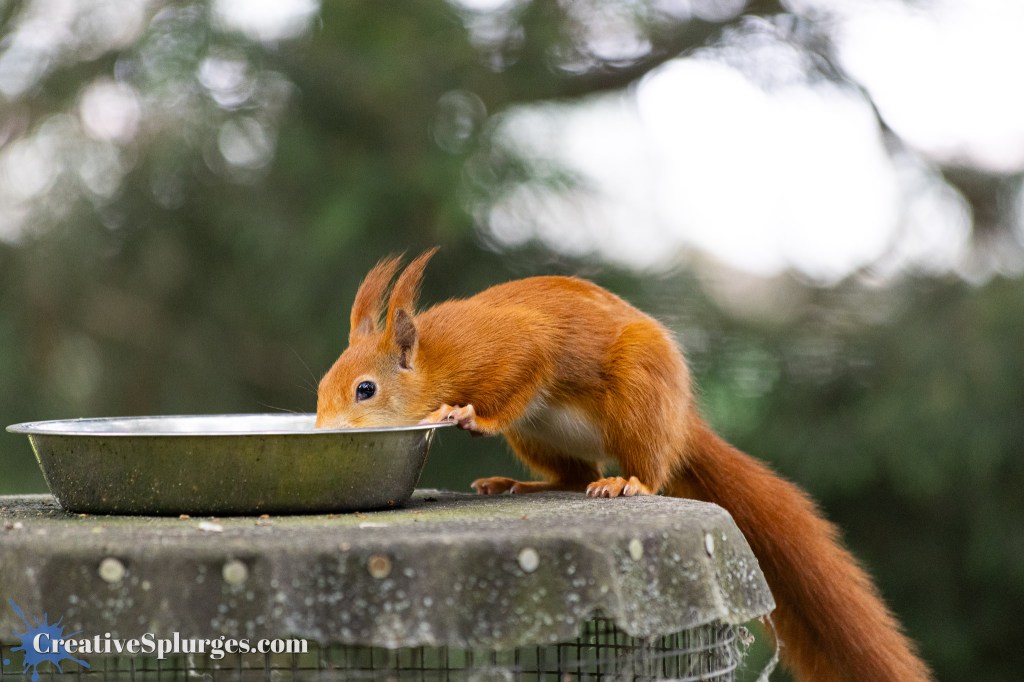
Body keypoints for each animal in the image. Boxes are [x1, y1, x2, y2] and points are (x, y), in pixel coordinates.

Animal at [316, 248, 931, 682]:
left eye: (366, 390)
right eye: (322, 387)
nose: (323, 429)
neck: (435, 358)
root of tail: (682, 420)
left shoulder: (515, 347)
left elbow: (521, 375)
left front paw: (467, 414)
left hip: (639, 395)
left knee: (644, 468)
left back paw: (628, 481)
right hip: (539, 434)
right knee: (574, 475)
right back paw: (519, 483)